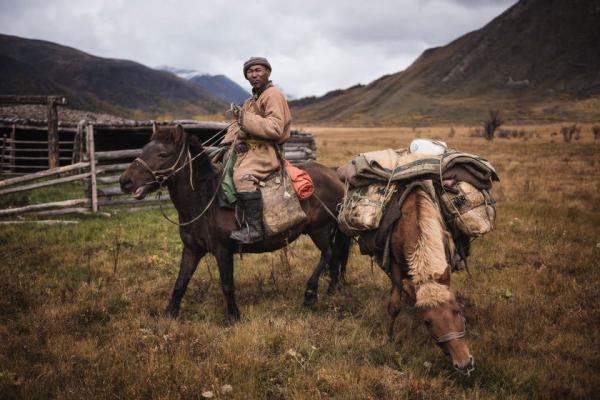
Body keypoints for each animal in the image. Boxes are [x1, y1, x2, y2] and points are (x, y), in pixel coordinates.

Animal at [119, 126, 350, 320]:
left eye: (163, 155)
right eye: (143, 149)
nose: (125, 182)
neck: (205, 199)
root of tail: (333, 174)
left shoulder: (223, 250)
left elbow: (227, 284)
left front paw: (233, 317)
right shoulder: (192, 249)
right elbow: (180, 282)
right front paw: (169, 314)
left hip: (320, 229)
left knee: (328, 254)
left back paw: (310, 293)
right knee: (335, 257)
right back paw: (331, 290)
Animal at [380, 188, 474, 376]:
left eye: (458, 310)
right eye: (427, 322)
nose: (464, 364)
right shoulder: (395, 266)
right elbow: (394, 306)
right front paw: (387, 339)